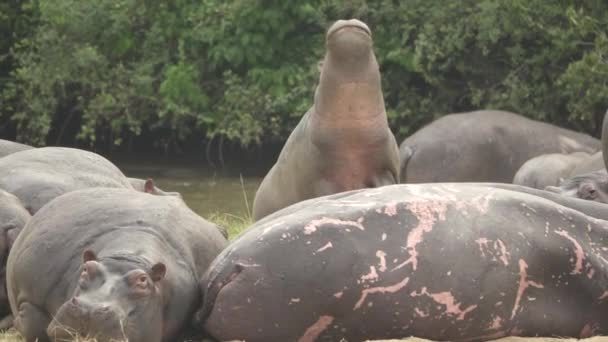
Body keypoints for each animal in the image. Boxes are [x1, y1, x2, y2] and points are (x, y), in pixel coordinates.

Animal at [5, 187, 229, 342]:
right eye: (86, 269)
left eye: (142, 280)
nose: (89, 309)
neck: (127, 255)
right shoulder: (31, 290)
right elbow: (33, 325)